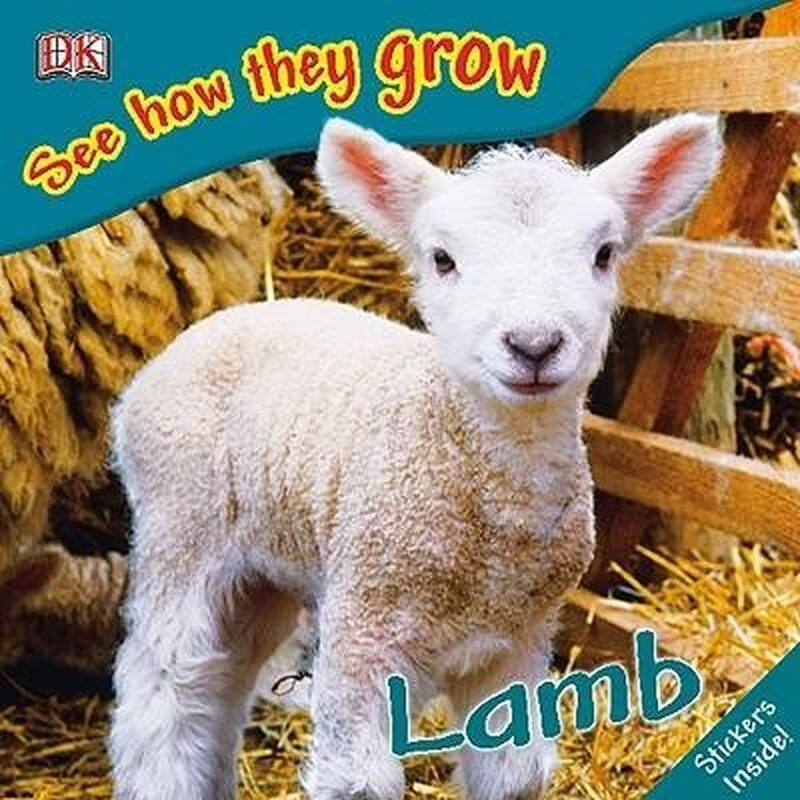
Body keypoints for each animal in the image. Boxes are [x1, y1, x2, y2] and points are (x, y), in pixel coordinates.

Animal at [109, 114, 721, 800]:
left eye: (604, 254)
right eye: (443, 259)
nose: (533, 345)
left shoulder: (519, 637)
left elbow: (514, 773)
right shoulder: (363, 628)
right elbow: (357, 782)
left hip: (262, 568)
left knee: (223, 683)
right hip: (180, 527)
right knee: (166, 688)